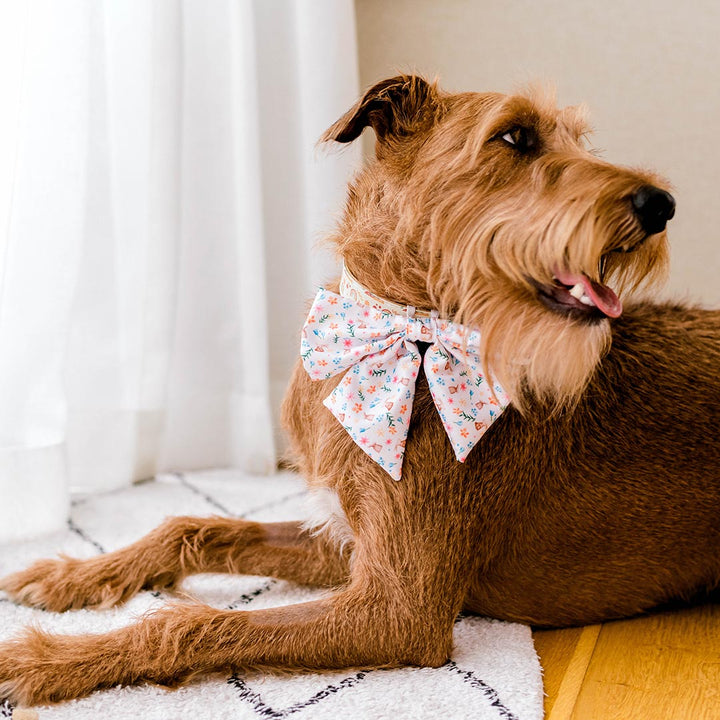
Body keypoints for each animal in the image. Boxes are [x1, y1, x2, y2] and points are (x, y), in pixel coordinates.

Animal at [1, 76, 720, 704]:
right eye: (516, 136)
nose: (661, 205)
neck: (394, 336)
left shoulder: (398, 610)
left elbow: (198, 625)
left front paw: (46, 659)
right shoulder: (345, 540)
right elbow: (193, 527)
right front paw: (69, 576)